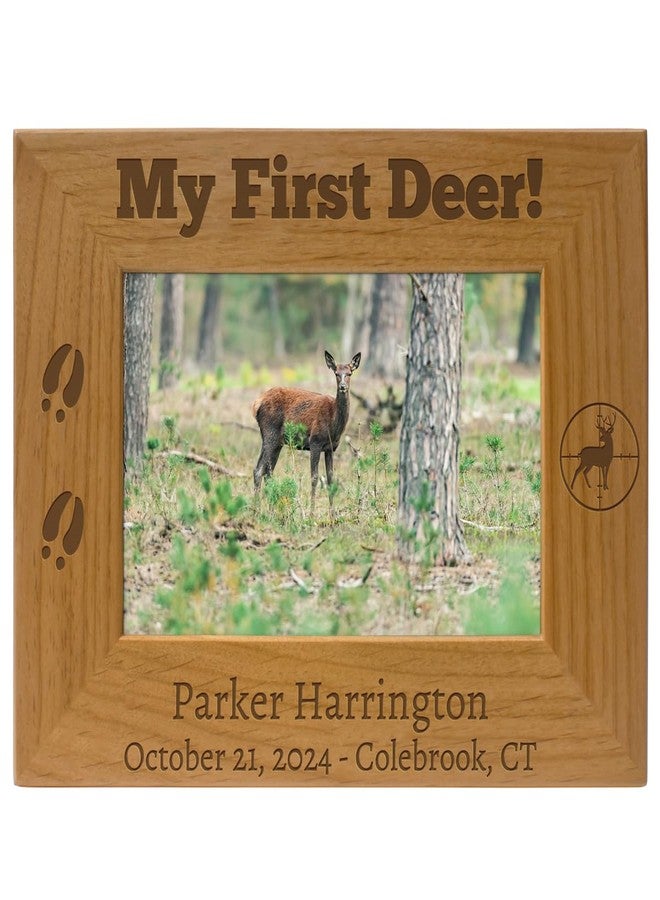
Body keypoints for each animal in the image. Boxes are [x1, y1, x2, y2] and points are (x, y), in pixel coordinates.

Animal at [252, 350, 362, 510]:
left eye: (349, 373)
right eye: (336, 373)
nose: (342, 386)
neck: (333, 425)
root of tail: (256, 403)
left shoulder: (330, 448)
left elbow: (330, 479)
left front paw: (332, 513)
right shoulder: (315, 442)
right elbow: (314, 478)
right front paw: (312, 512)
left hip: (278, 442)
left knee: (268, 472)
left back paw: (269, 509)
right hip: (269, 433)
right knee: (258, 470)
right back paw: (255, 510)